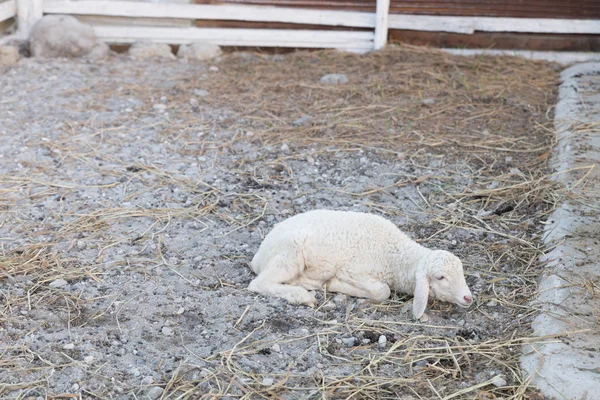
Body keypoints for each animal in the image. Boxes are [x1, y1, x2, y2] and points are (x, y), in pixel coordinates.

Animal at [248, 209, 474, 318]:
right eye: (441, 277)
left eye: (462, 272)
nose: (468, 298)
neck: (394, 256)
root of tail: (258, 256)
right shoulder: (353, 271)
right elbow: (383, 291)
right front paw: (336, 284)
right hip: (290, 254)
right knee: (259, 284)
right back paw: (301, 295)